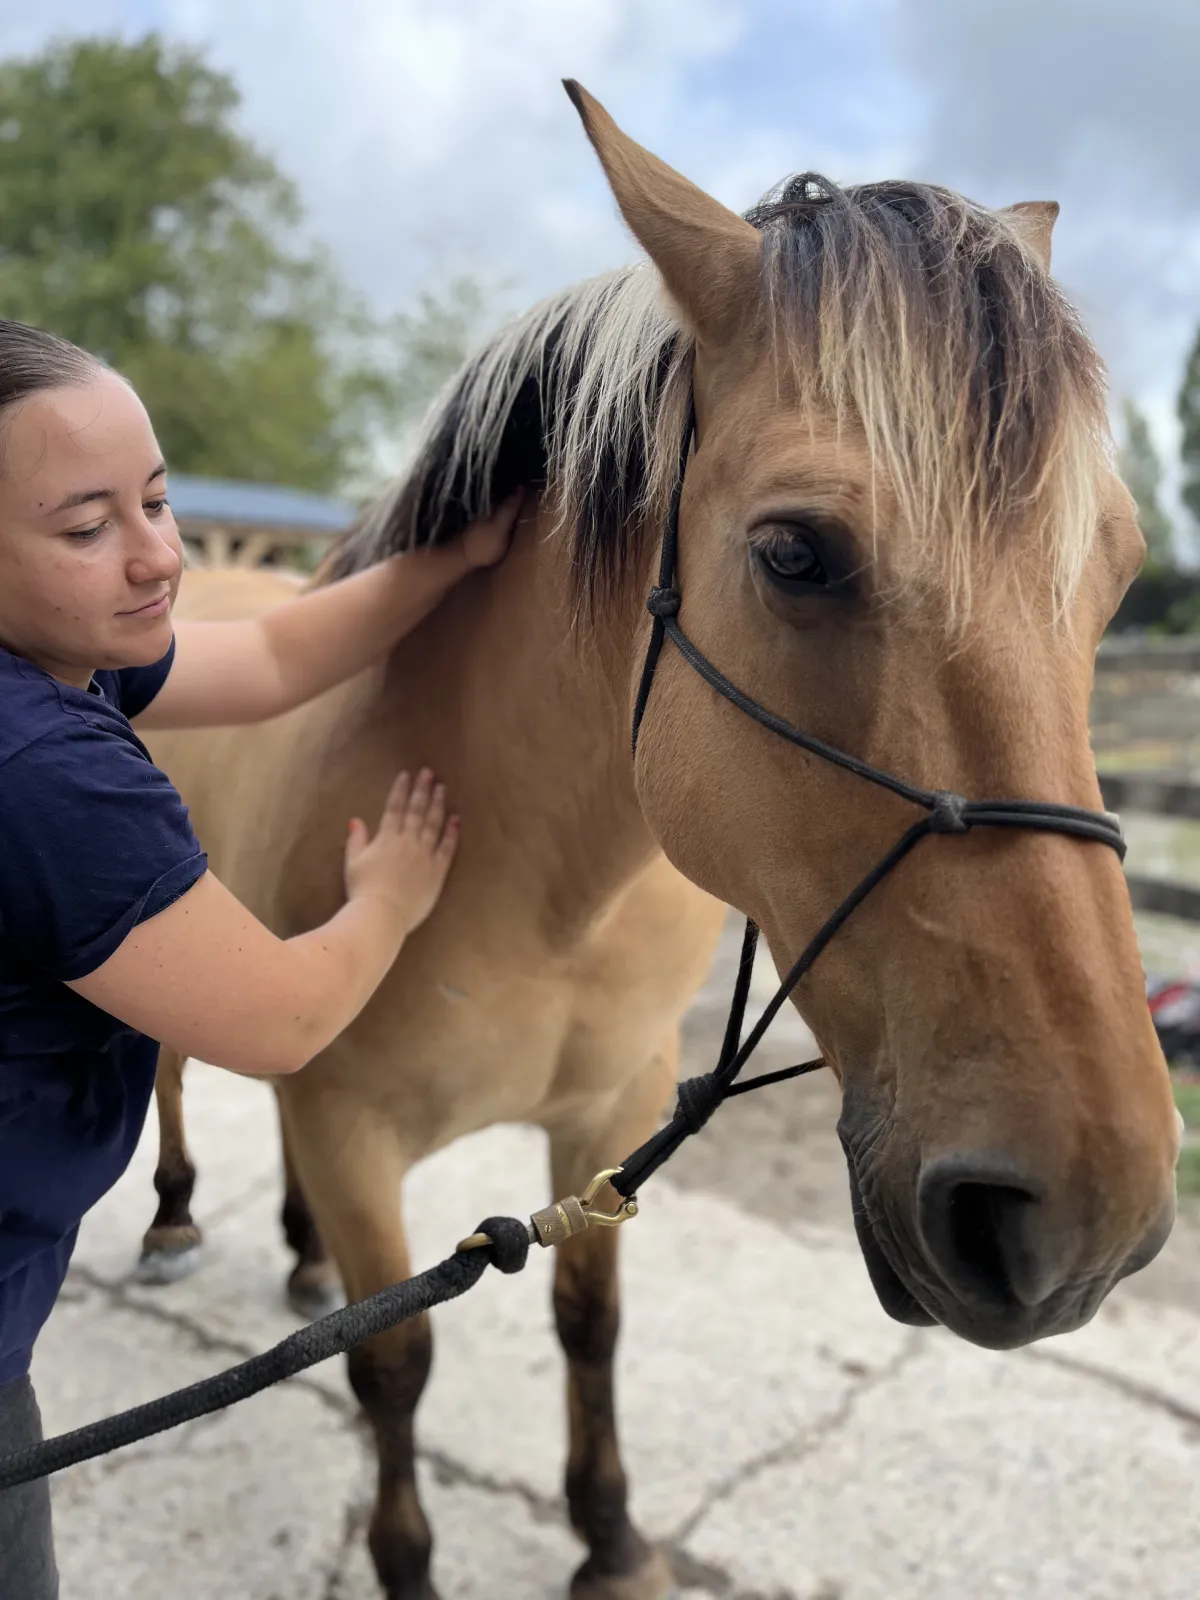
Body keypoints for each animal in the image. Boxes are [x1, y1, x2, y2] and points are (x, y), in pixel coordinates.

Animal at [135, 81, 1180, 1600]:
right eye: (796, 552)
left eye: (1115, 569)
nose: (1088, 1221)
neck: (535, 881)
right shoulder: (356, 1133)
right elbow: (395, 1366)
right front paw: (409, 1560)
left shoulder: (604, 1121)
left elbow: (588, 1321)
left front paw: (612, 1537)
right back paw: (172, 1219)